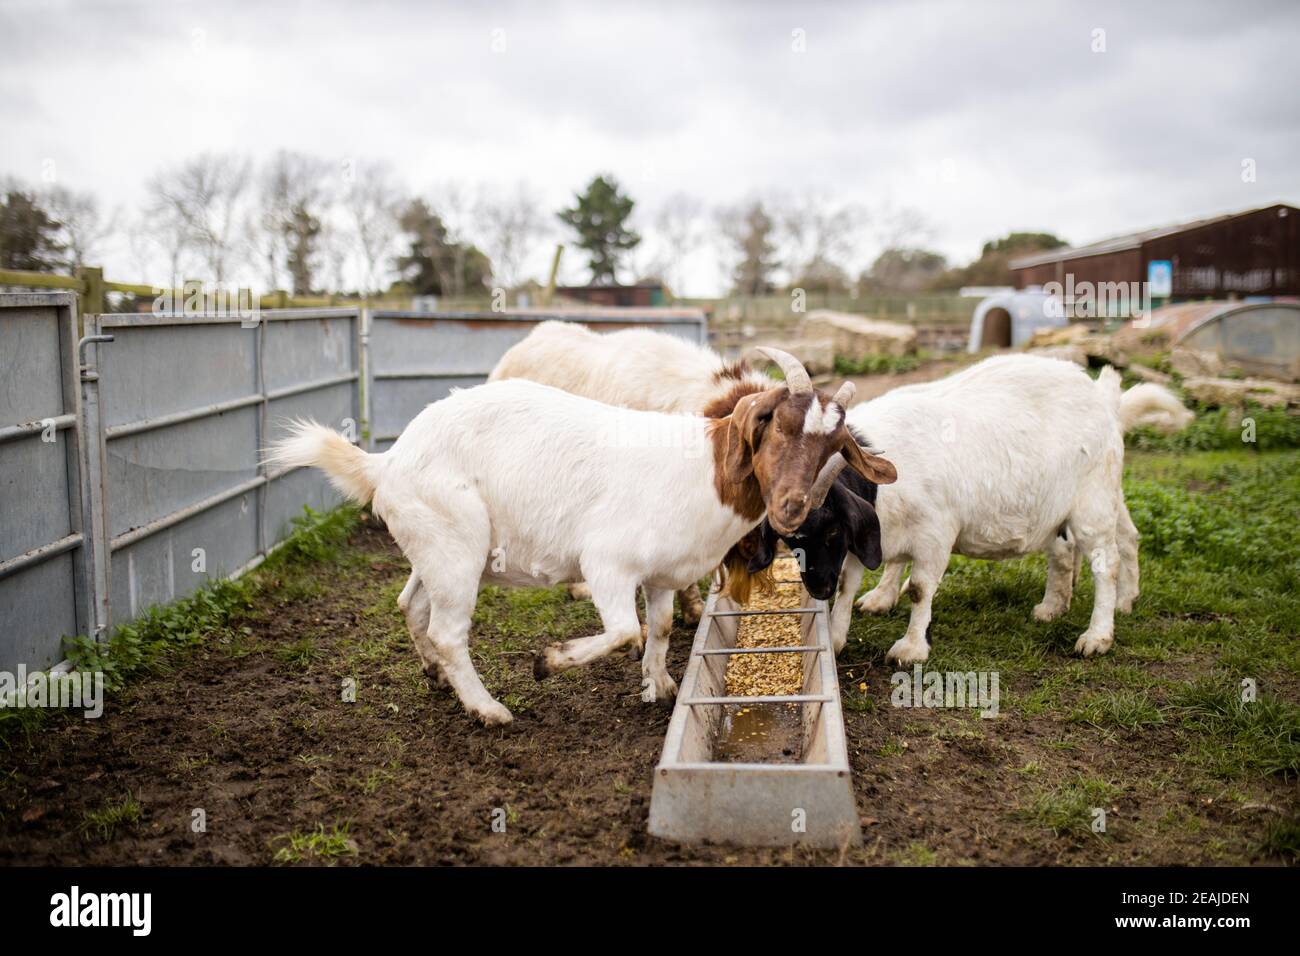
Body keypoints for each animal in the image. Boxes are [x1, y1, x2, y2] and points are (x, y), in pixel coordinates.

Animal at [826, 353, 1190, 665]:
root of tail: (1105, 396)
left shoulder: (935, 534)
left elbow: (920, 589)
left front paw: (910, 648)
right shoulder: (868, 536)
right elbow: (849, 582)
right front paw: (839, 636)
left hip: (1093, 500)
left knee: (1106, 561)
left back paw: (1097, 634)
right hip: (1088, 497)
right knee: (1115, 538)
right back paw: (1077, 604)